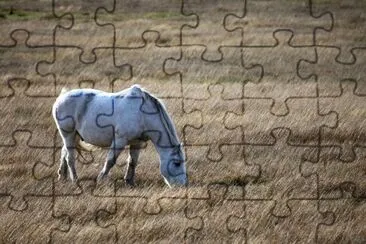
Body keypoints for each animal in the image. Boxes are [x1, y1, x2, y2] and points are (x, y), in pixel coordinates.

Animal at [52, 84, 189, 187]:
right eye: (177, 163)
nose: (183, 185)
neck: (142, 114)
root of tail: (61, 98)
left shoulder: (137, 143)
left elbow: (133, 162)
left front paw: (129, 182)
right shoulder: (120, 140)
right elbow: (110, 161)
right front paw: (101, 179)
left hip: (72, 137)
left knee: (64, 153)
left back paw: (62, 176)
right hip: (68, 135)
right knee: (69, 158)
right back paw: (74, 179)